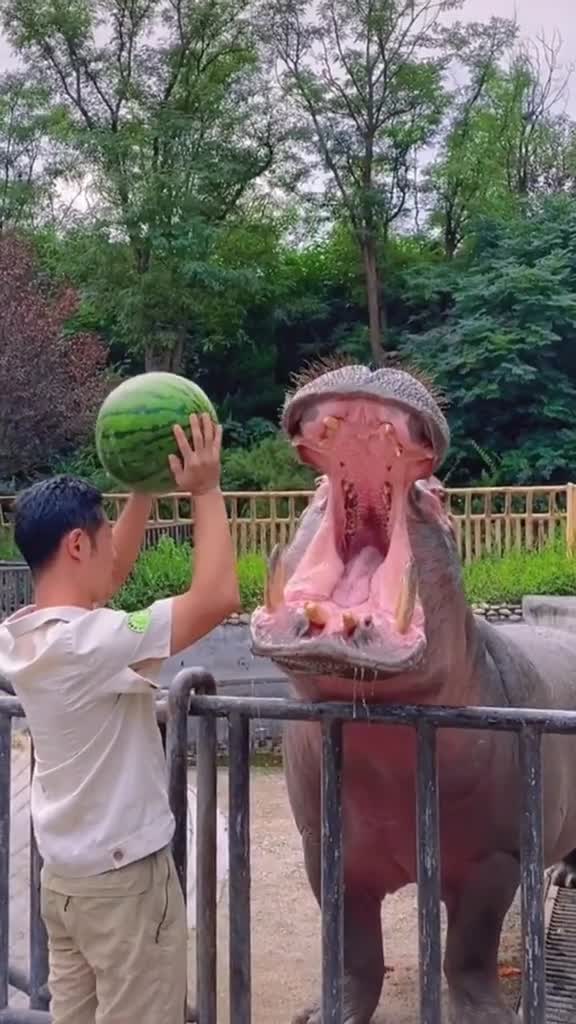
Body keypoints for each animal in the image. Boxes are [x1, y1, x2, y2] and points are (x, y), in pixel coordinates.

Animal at [250, 360, 576, 1024]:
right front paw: (326, 1012)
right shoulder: (324, 848)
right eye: (314, 493)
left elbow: (468, 952)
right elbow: (354, 947)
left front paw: (484, 1015)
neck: (384, 742)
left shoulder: (495, 860)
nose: (374, 364)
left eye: (443, 500)